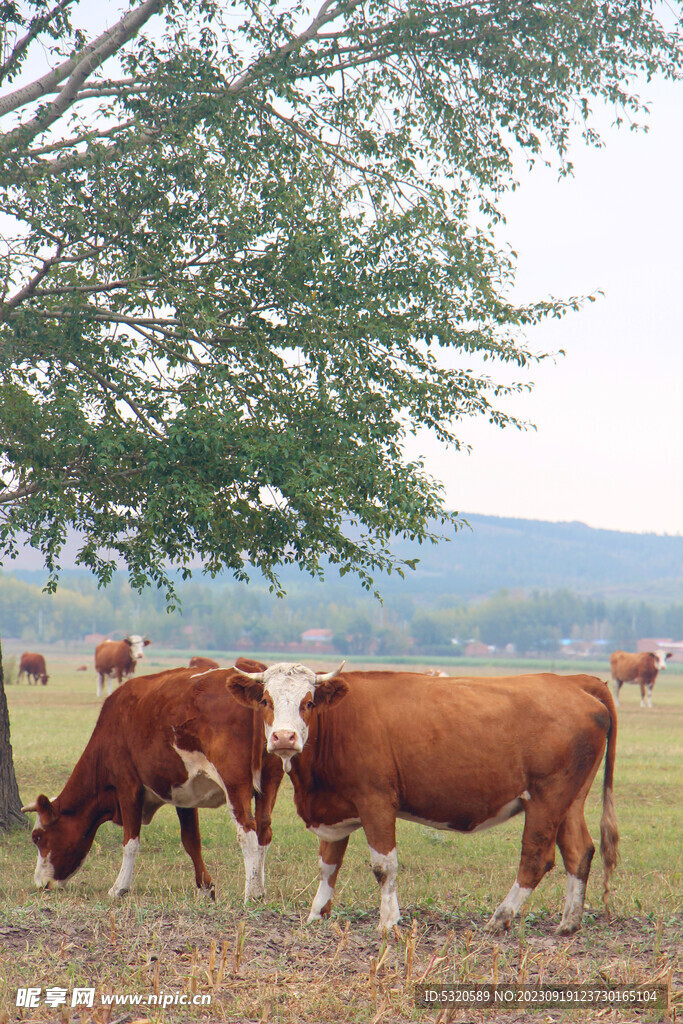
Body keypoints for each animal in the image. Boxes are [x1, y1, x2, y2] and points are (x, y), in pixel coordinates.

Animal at [22, 659, 282, 901]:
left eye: (37, 837)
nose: (41, 884)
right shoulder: (183, 793)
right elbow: (191, 841)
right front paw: (205, 888)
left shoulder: (127, 786)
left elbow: (130, 841)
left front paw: (119, 887)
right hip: (270, 778)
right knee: (264, 830)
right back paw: (261, 887)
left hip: (235, 783)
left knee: (247, 831)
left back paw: (252, 893)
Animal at [229, 663, 618, 937]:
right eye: (266, 701)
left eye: (307, 703)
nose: (284, 737)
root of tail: (575, 681)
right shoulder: (335, 811)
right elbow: (328, 864)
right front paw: (316, 915)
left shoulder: (376, 802)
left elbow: (384, 866)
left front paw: (388, 922)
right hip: (570, 800)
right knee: (579, 851)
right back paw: (569, 922)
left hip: (546, 798)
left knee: (537, 857)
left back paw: (500, 919)